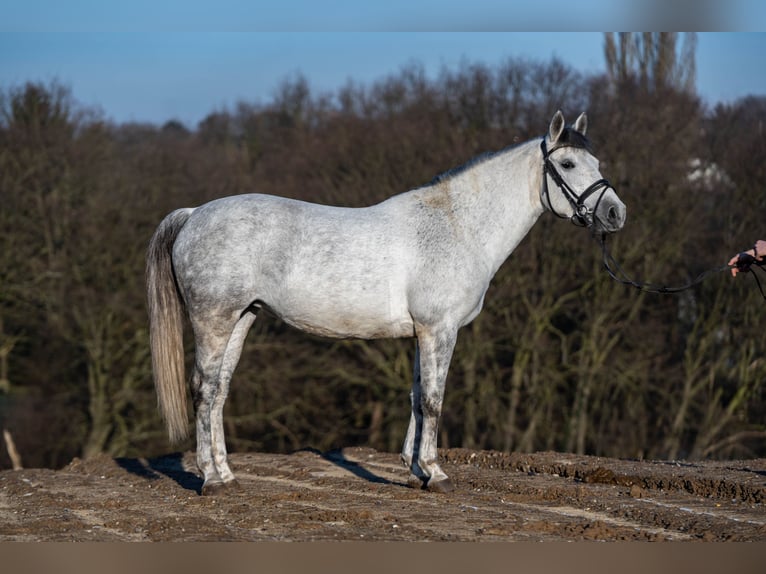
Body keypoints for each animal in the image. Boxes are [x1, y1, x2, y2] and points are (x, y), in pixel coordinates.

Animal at [147, 111, 628, 496]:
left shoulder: (422, 332)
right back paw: (211, 480)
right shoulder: (439, 329)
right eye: (567, 164)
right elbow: (434, 399)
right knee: (204, 389)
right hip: (213, 320)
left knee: (220, 391)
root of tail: (194, 214)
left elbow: (417, 395)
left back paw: (227, 474)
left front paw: (416, 471)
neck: (458, 225)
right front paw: (436, 473)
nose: (615, 214)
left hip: (241, 318)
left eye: (597, 163)